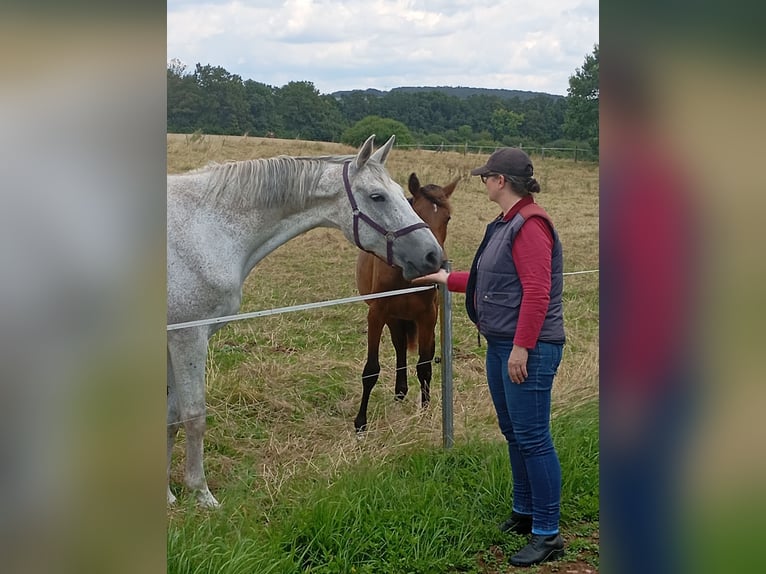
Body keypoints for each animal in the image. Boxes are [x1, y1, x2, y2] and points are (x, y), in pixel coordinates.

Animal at [352, 173, 456, 434]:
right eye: (416, 213)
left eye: (447, 218)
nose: (434, 260)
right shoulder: (377, 314)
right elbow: (371, 370)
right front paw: (360, 422)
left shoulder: (427, 316)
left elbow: (424, 365)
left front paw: (426, 410)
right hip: (393, 317)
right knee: (399, 346)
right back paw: (400, 392)